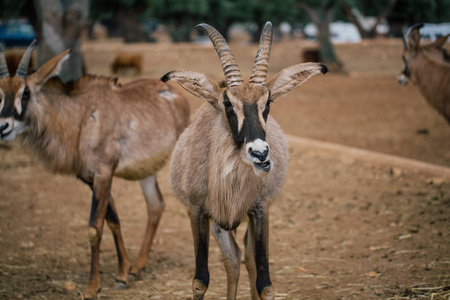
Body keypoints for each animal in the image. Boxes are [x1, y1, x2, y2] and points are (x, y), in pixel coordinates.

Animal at [0, 41, 190, 298]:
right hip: (146, 171)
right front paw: (122, 273)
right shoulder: (90, 178)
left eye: (26, 92)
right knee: (156, 205)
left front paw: (92, 286)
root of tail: (178, 96)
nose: (3, 127)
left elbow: (94, 227)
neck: (79, 116)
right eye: (0, 93)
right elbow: (113, 220)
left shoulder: (103, 173)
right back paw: (138, 267)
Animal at [163, 21, 326, 300]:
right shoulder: (197, 210)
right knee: (233, 258)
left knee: (246, 257)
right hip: (218, 224)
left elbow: (265, 284)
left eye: (267, 101)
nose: (260, 154)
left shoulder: (260, 208)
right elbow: (200, 281)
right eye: (228, 102)